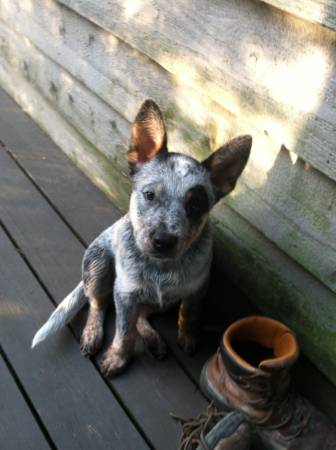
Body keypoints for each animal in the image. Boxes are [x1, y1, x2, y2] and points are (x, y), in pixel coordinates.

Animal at [32, 100, 252, 378]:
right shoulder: (125, 294)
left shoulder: (197, 288)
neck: (160, 269)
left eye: (195, 205)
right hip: (98, 264)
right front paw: (117, 358)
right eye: (149, 195)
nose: (163, 240)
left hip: (158, 301)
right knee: (98, 304)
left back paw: (153, 339)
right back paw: (92, 334)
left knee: (142, 316)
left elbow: (189, 315)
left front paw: (188, 337)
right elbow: (124, 332)